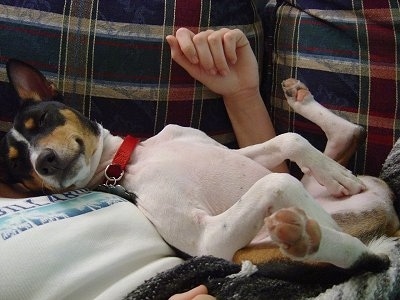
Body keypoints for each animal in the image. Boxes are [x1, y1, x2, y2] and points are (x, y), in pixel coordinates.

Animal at [0, 59, 398, 274]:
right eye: (20, 171)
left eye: (43, 119)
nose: (43, 161)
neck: (127, 160)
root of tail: (389, 216)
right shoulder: (209, 239)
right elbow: (279, 182)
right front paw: (317, 217)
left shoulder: (234, 151)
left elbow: (290, 140)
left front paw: (337, 176)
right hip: (259, 251)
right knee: (359, 252)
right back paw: (308, 234)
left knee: (346, 136)